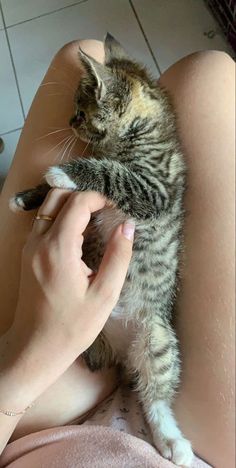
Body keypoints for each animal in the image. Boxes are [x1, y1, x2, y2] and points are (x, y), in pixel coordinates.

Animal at [9, 33, 194, 468]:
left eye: (80, 111)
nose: (68, 122)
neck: (148, 132)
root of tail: (122, 353)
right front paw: (28, 197)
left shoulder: (154, 188)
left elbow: (112, 173)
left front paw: (66, 172)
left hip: (156, 335)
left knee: (154, 391)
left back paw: (171, 439)